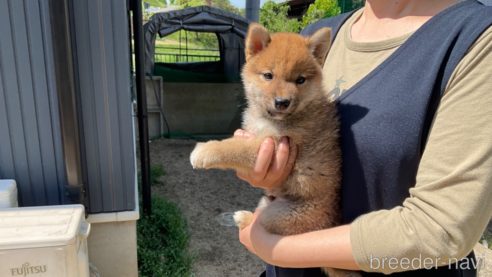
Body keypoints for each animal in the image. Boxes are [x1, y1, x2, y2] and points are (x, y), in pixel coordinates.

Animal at [190, 23, 360, 276]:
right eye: (268, 76)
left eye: (300, 80)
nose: (282, 102)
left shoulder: (268, 145)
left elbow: (232, 147)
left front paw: (205, 151)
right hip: (267, 203)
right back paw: (244, 217)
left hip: (277, 216)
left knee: (261, 222)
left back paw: (245, 220)